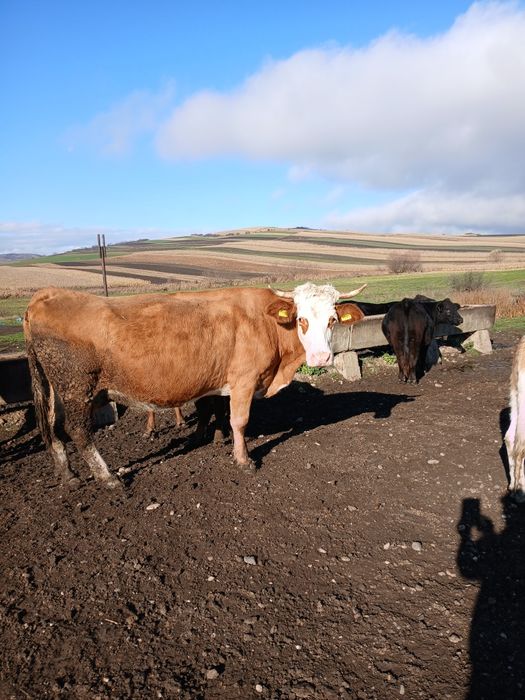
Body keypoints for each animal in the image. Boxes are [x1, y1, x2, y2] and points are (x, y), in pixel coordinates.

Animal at [23, 282, 365, 487]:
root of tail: (48, 294)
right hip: (76, 387)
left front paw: (215, 437)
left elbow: (214, 410)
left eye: (333, 320)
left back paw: (67, 474)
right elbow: (239, 421)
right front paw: (243, 460)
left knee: (52, 428)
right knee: (78, 431)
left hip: (54, 390)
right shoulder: (244, 380)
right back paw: (107, 477)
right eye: (301, 319)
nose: (321, 357)